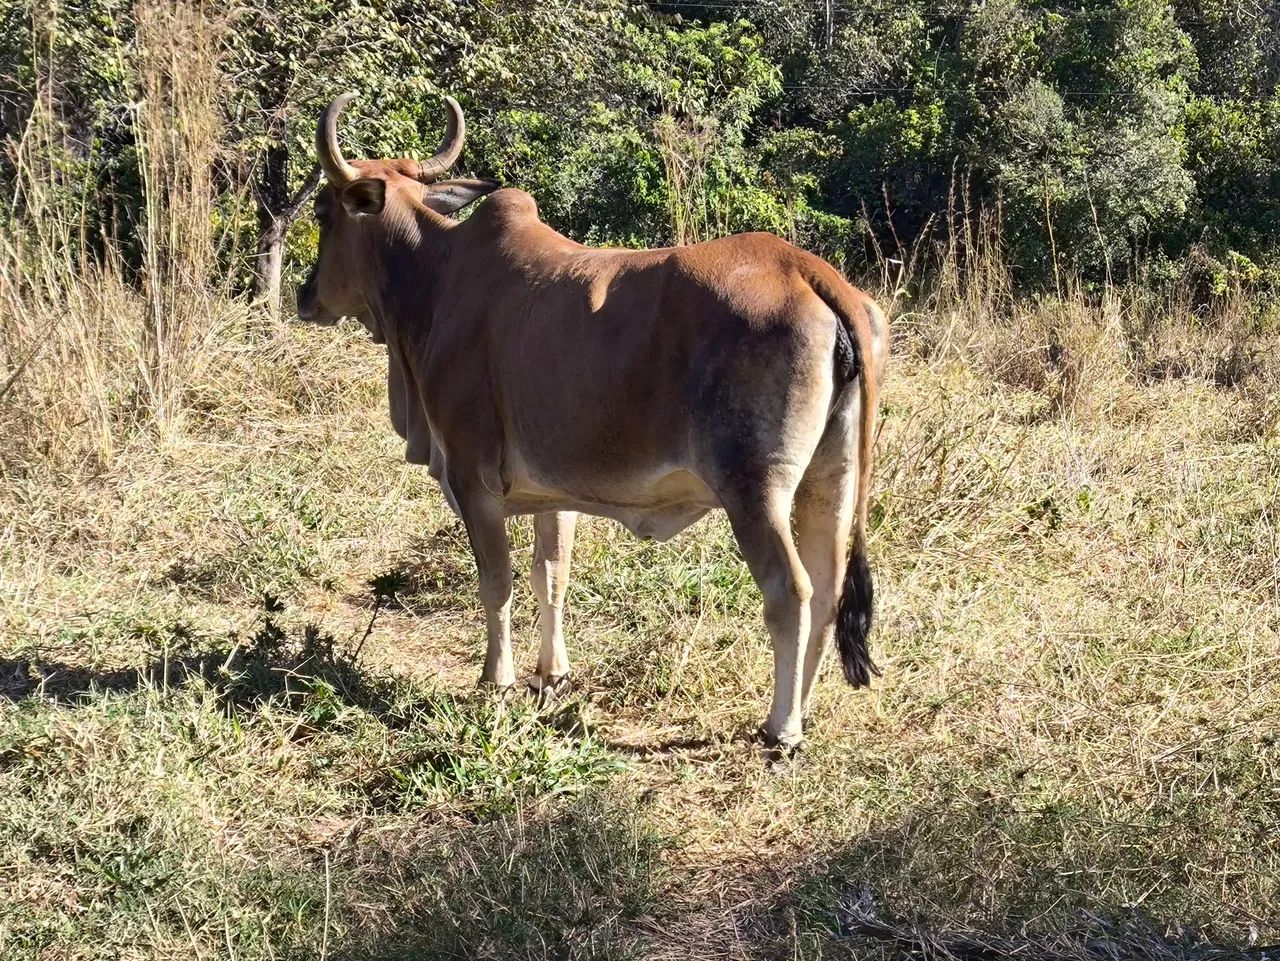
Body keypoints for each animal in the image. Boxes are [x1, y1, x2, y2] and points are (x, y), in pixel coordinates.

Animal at [296, 94, 889, 749]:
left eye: (324, 211)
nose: (305, 295)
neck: (435, 278)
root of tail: (808, 272)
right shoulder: (554, 492)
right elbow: (549, 575)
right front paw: (550, 674)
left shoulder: (473, 480)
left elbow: (497, 581)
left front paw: (495, 680)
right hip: (830, 479)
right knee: (829, 589)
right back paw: (802, 710)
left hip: (756, 490)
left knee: (791, 591)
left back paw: (781, 726)